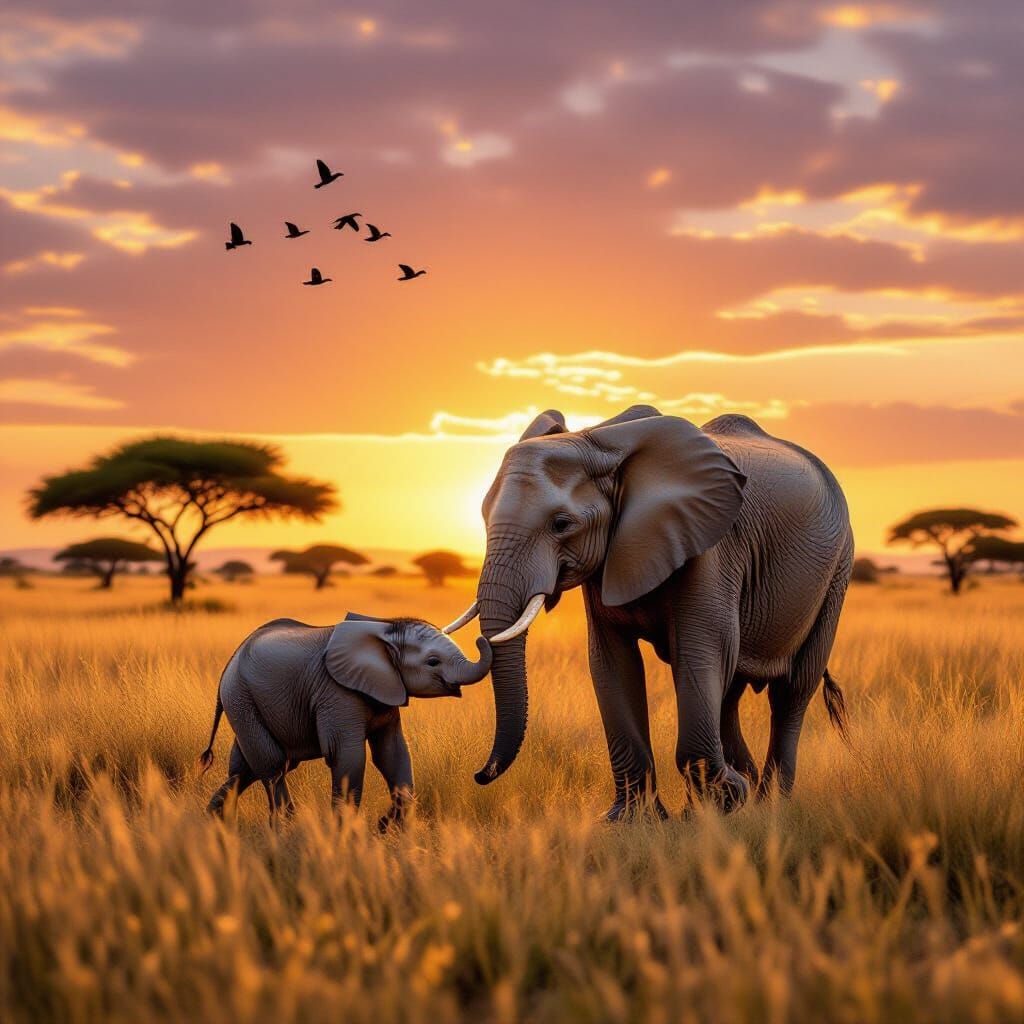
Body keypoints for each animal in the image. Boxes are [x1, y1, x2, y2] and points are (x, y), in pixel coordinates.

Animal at [199, 612, 492, 826]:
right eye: (433, 662)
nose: (481, 639)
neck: (384, 627)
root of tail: (229, 663)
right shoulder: (336, 693)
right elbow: (347, 756)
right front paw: (345, 834)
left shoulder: (385, 688)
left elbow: (392, 753)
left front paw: (390, 827)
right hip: (241, 699)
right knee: (273, 766)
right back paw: (285, 825)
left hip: (247, 703)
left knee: (246, 769)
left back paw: (214, 821)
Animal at [445, 404, 852, 818]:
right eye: (483, 516)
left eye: (561, 524)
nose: (480, 774)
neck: (600, 440)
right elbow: (611, 662)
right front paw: (632, 820)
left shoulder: (710, 547)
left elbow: (700, 651)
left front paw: (718, 805)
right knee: (731, 690)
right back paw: (749, 788)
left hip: (837, 571)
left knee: (791, 690)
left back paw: (769, 803)